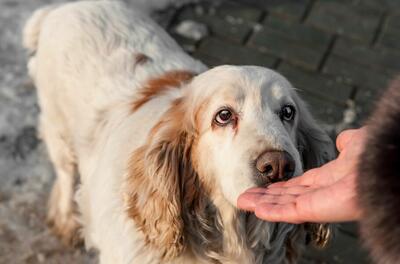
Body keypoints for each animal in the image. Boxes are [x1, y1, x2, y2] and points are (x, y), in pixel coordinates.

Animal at [21, 1, 334, 262]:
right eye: (223, 116)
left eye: (288, 112)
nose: (278, 166)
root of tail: (60, 9)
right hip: (59, 131)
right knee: (65, 176)